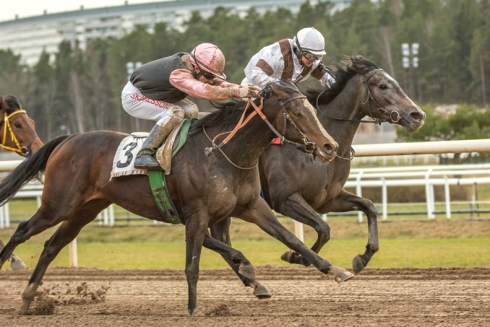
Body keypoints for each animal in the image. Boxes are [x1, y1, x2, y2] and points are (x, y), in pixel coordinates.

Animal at [0, 80, 352, 316]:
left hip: (84, 210)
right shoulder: (196, 215)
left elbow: (291, 241)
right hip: (58, 204)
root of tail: (68, 138)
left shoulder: (251, 206)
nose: (329, 146)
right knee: (21, 231)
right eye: (297, 112)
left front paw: (336, 270)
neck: (224, 151)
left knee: (51, 246)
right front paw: (195, 308)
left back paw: (29, 297)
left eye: (311, 109)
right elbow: (194, 263)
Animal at [211, 55, 424, 288]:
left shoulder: (327, 200)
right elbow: (323, 228)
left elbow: (369, 207)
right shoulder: (286, 199)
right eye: (383, 86)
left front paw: (363, 257)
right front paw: (297, 256)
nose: (417, 115)